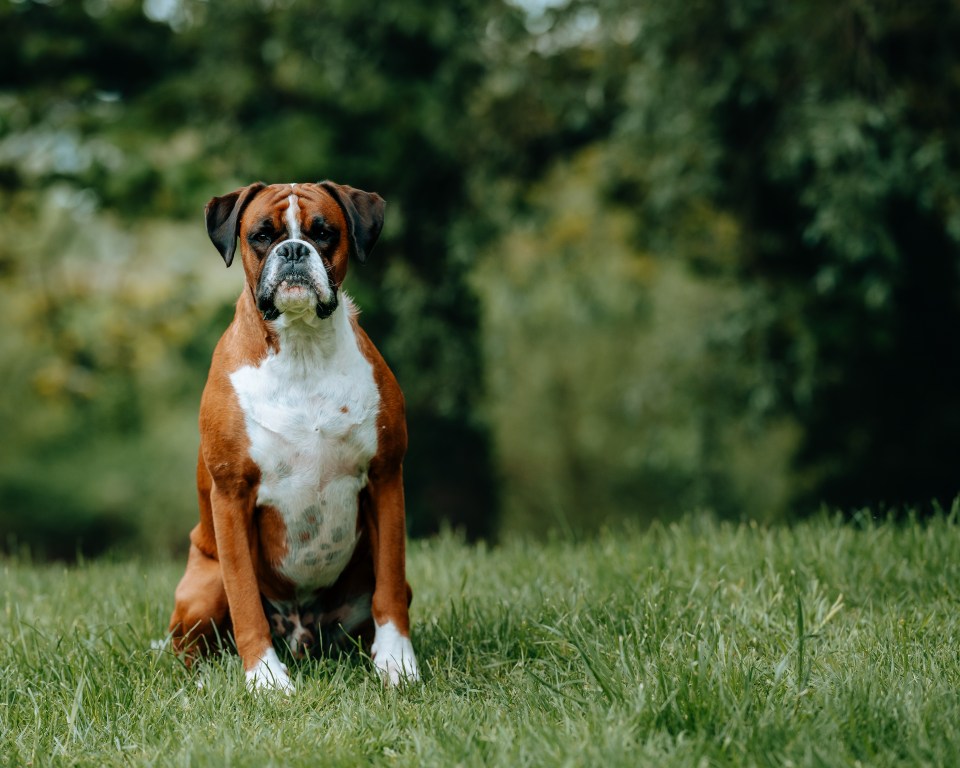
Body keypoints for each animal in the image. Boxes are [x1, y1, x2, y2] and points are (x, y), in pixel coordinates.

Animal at [168, 180, 420, 688]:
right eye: (262, 235)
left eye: (323, 233)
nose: (293, 250)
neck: (302, 349)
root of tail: (302, 634)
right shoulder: (232, 496)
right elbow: (245, 599)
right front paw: (265, 680)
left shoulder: (385, 478)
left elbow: (388, 586)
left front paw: (396, 663)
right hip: (204, 587)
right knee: (189, 648)